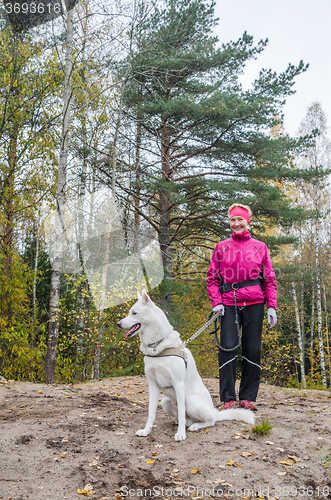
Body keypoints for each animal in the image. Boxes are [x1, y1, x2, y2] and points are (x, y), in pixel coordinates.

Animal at [118, 290, 255, 442]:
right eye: (129, 312)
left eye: (134, 313)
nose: (118, 324)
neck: (157, 347)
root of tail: (214, 411)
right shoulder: (153, 385)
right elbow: (151, 413)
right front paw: (146, 431)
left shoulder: (178, 384)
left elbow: (180, 413)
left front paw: (180, 434)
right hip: (165, 402)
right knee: (185, 418)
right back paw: (182, 422)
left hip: (191, 401)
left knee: (210, 421)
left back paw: (195, 426)